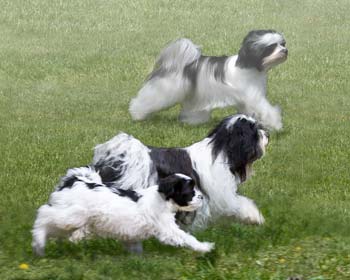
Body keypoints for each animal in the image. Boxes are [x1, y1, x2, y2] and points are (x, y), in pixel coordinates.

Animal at [31, 168, 212, 256]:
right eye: (189, 191)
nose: (202, 197)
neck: (162, 198)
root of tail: (73, 181)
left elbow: (135, 246)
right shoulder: (168, 229)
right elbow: (187, 238)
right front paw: (204, 247)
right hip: (71, 216)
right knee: (43, 214)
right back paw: (39, 241)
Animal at [91, 114, 270, 230]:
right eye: (255, 132)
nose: (267, 134)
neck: (221, 151)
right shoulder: (222, 195)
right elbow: (240, 203)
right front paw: (255, 217)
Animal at [129, 30, 288, 131]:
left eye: (283, 44)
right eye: (270, 48)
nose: (285, 51)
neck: (249, 66)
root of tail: (177, 63)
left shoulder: (245, 100)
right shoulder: (253, 96)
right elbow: (266, 109)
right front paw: (276, 124)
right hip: (165, 89)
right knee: (147, 99)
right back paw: (137, 114)